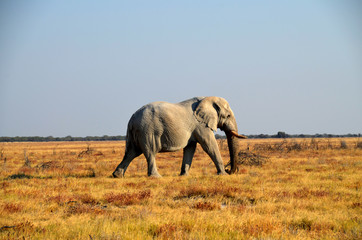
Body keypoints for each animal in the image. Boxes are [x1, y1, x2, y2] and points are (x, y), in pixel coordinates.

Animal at [112, 96, 246, 178]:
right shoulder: (200, 125)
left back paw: (117, 175)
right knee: (150, 152)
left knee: (131, 152)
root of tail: (132, 119)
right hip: (148, 130)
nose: (230, 170)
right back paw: (156, 177)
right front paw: (223, 175)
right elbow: (209, 145)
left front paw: (184, 175)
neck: (207, 98)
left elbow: (190, 148)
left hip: (137, 132)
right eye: (228, 116)